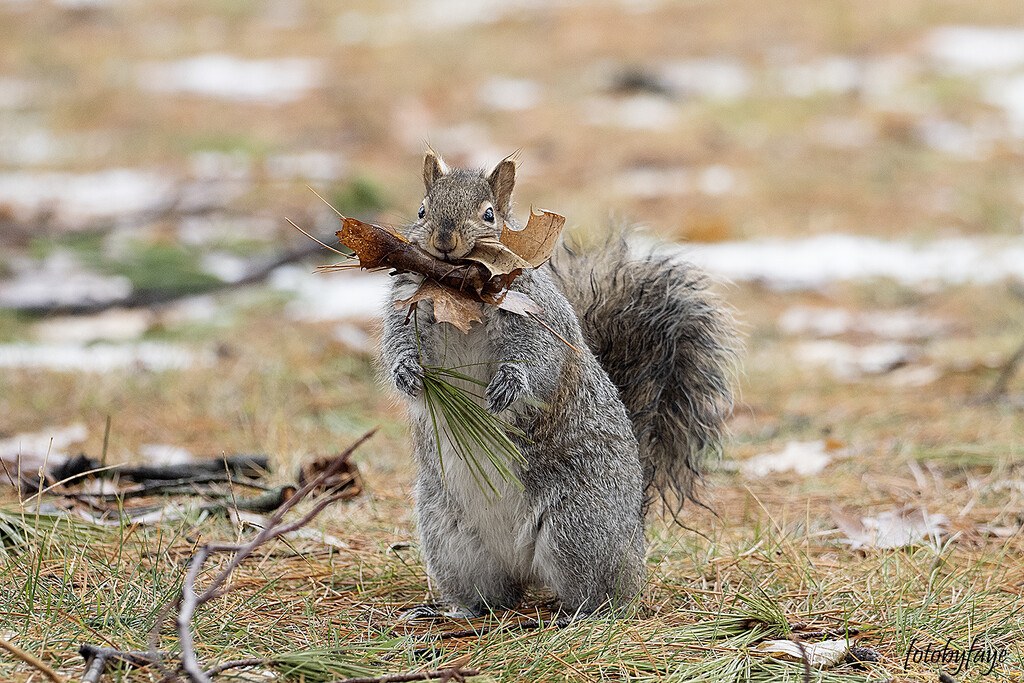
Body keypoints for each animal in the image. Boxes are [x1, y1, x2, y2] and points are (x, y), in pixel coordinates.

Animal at [378, 150, 737, 618]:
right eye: (422, 209)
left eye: (489, 214)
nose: (444, 240)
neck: (457, 292)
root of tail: (633, 532)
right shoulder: (409, 305)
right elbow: (398, 344)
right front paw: (406, 372)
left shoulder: (537, 316)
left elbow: (540, 359)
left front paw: (510, 383)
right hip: (450, 536)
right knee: (491, 594)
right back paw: (456, 611)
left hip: (578, 524)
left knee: (598, 590)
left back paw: (582, 613)